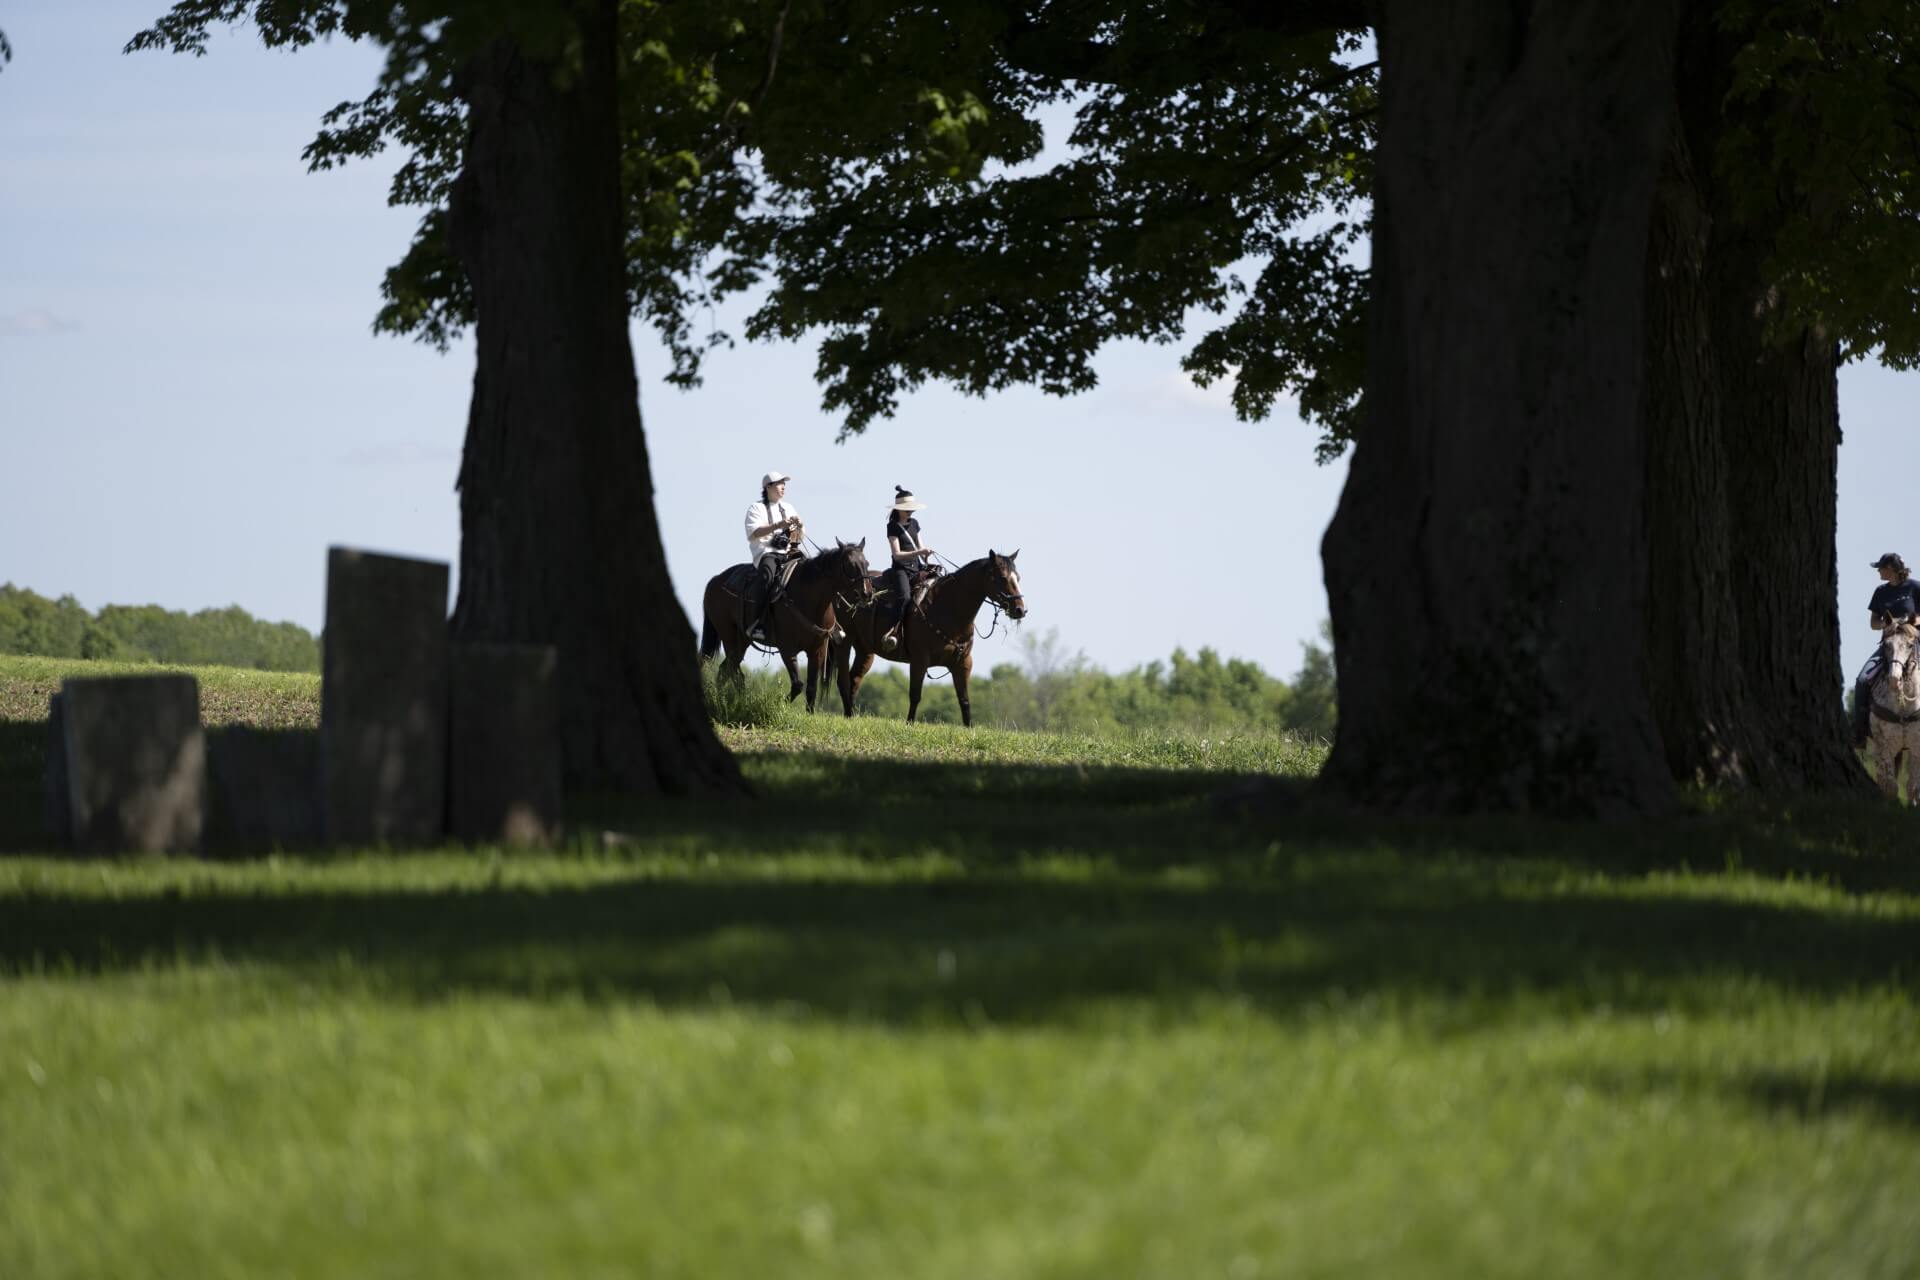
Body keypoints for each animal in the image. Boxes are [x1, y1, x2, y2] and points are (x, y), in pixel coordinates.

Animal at [702, 541, 875, 717]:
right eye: (850, 565)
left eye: (866, 564)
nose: (867, 593)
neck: (810, 599)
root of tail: (715, 580)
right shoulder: (787, 648)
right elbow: (798, 684)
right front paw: (777, 705)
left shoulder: (817, 650)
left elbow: (811, 687)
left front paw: (809, 714)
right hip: (729, 636)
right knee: (732, 670)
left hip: (742, 641)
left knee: (726, 670)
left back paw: (726, 701)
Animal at [833, 552, 1029, 729]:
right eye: (1002, 577)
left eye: (1018, 577)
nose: (1020, 610)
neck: (946, 608)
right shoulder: (919, 660)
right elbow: (915, 695)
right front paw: (909, 724)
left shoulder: (963, 663)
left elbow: (964, 700)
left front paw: (969, 729)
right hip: (845, 641)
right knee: (843, 679)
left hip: (865, 650)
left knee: (854, 679)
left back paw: (850, 715)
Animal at [1866, 617, 1920, 802]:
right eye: (1886, 645)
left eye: (1910, 645)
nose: (1894, 679)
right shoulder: (1884, 744)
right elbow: (1890, 785)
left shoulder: (1916, 746)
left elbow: (1913, 788)